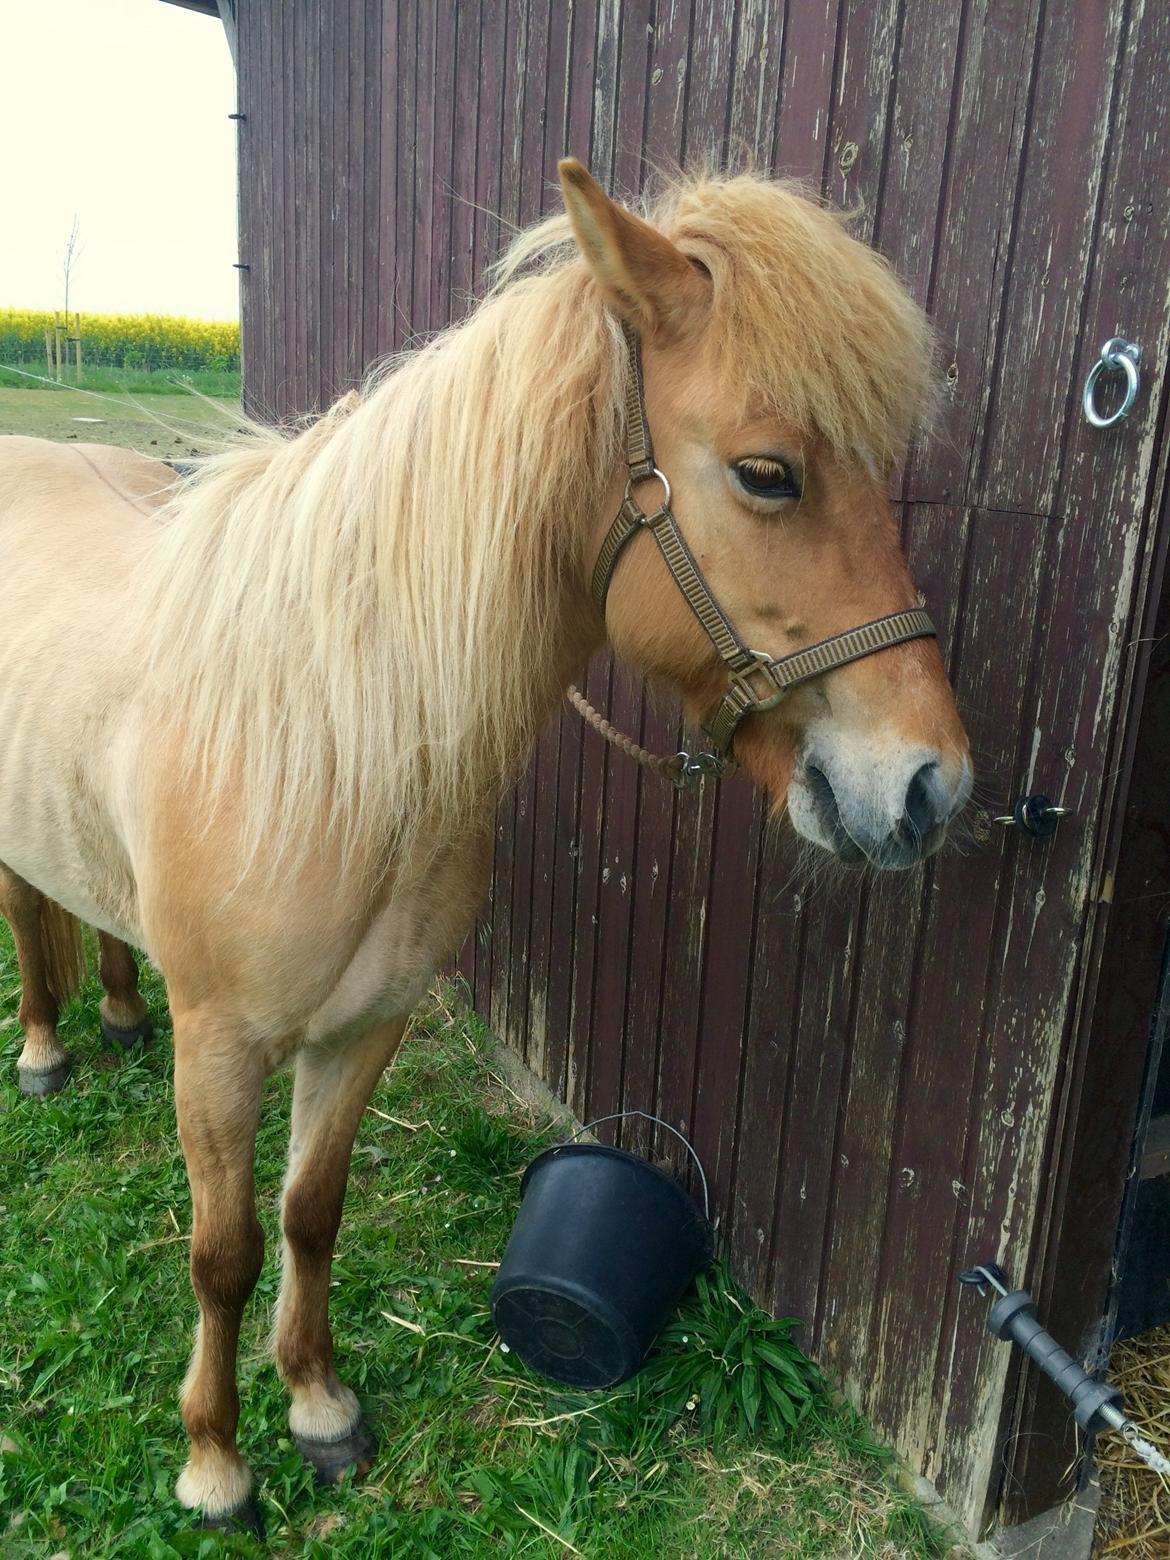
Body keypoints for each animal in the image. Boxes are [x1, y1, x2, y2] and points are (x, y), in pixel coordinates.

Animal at [0, 161, 973, 1522]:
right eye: (768, 473)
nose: (931, 785)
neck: (332, 744)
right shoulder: (225, 1052)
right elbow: (223, 1253)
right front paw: (214, 1463)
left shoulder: (365, 1029)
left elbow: (310, 1214)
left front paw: (319, 1410)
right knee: (24, 911)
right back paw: (43, 1048)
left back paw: (119, 1011)